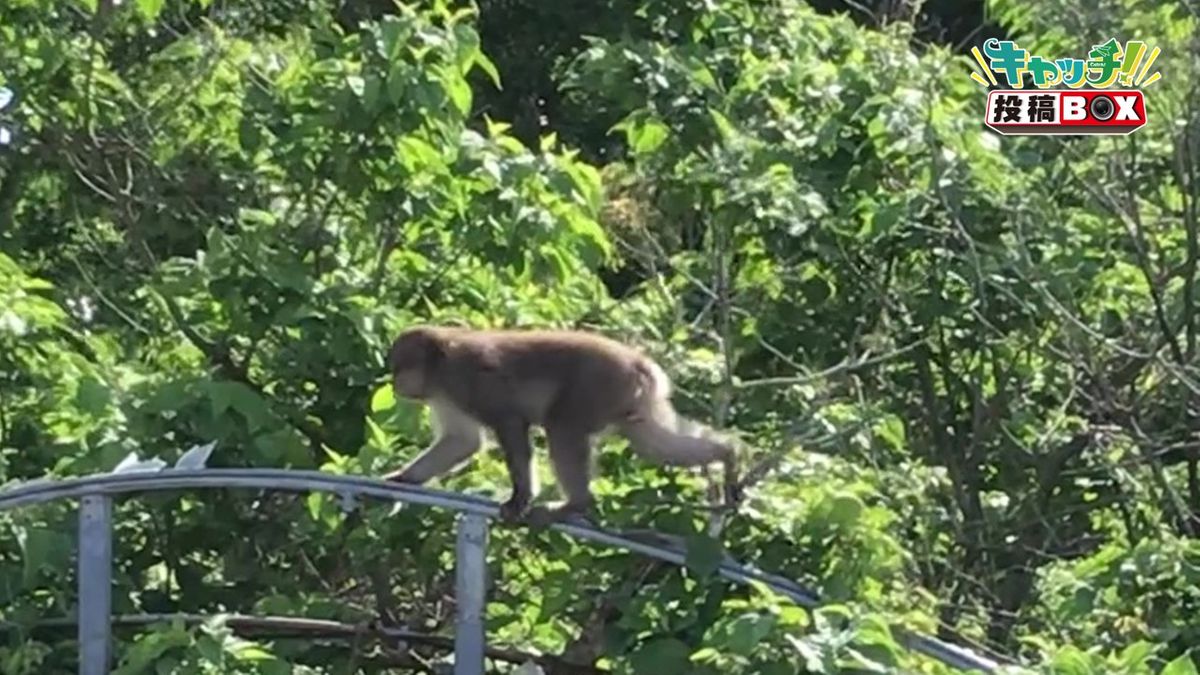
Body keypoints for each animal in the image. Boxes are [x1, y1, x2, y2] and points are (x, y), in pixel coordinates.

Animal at [384, 324, 739, 523]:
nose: (394, 383)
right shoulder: (443, 393)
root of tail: (641, 363)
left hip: (601, 384)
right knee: (652, 441)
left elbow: (509, 421)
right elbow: (462, 441)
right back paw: (728, 454)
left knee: (562, 427)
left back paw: (575, 504)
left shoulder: (465, 378)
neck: (440, 363)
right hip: (632, 401)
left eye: (400, 368)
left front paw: (520, 499)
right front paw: (403, 477)